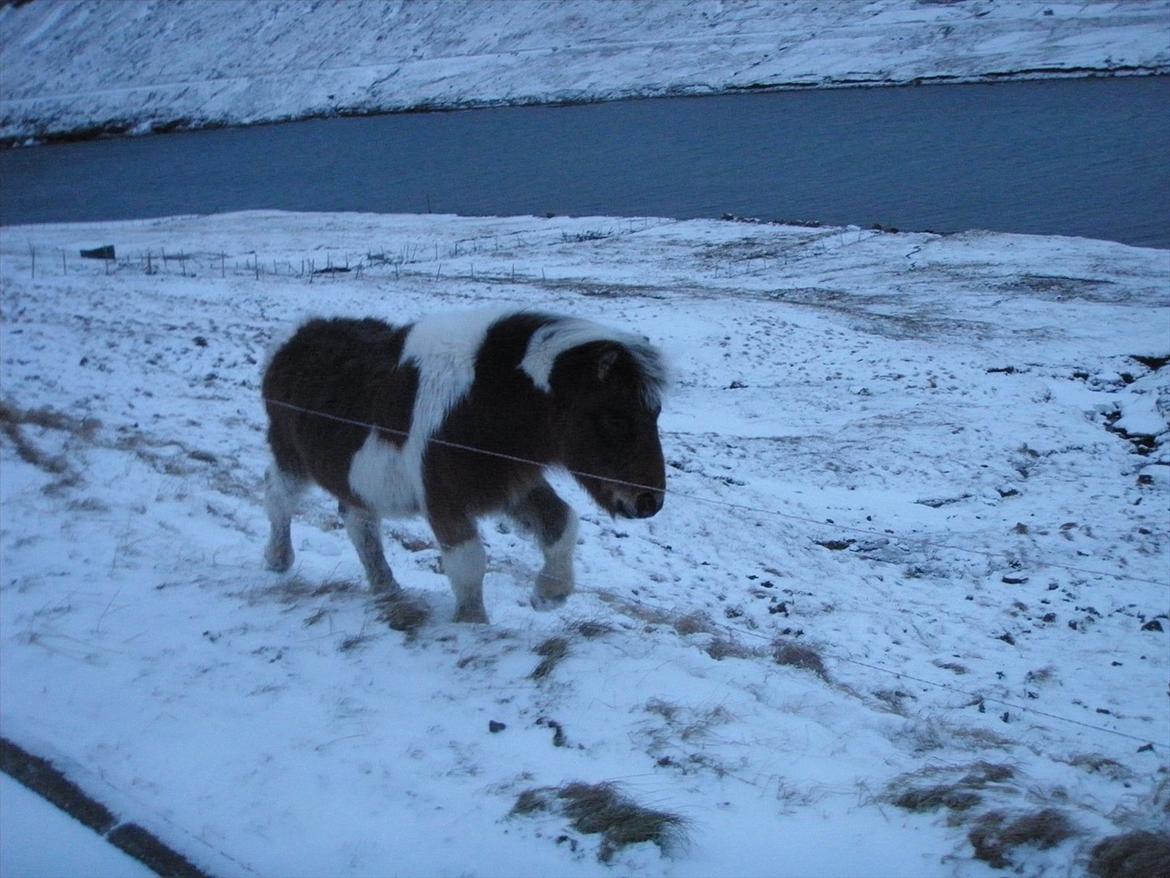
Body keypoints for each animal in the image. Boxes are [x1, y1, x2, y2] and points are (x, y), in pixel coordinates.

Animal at [264, 309, 669, 627]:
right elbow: (469, 561)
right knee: (279, 499)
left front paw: (549, 595)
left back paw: (386, 588)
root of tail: (291, 340)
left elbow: (562, 524)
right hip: (290, 457)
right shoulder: (444, 499)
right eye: (615, 418)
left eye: (656, 413)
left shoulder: (512, 486)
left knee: (359, 524)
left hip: (356, 480)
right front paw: (472, 624)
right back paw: (278, 561)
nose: (649, 503)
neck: (480, 406)